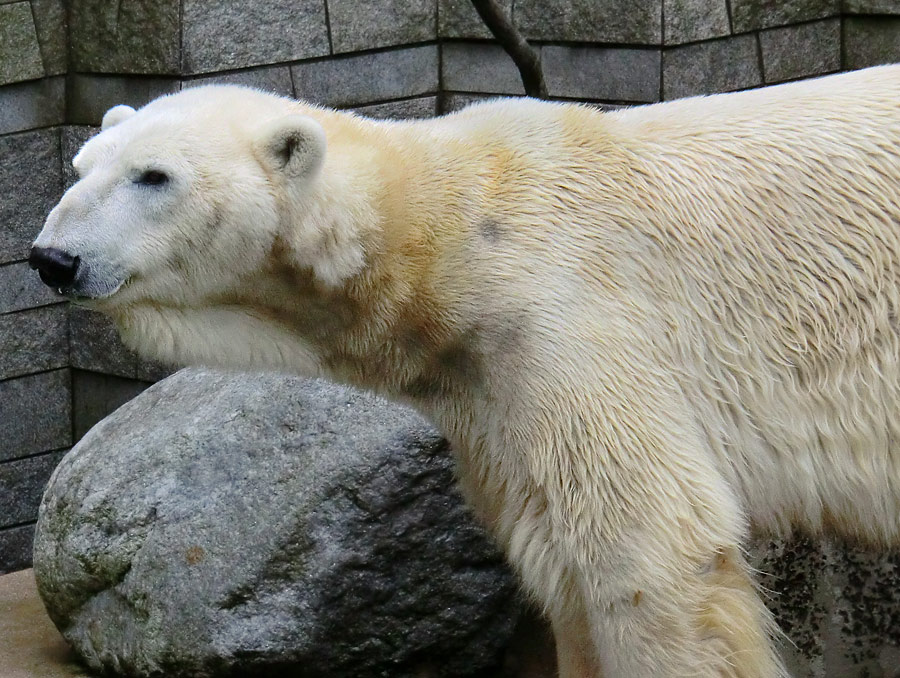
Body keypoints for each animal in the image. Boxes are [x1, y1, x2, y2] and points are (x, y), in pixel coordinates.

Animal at [28, 67, 900, 678]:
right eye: (80, 164)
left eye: (154, 176)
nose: (51, 258)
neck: (450, 238)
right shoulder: (489, 390)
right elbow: (556, 553)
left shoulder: (574, 320)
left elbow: (649, 555)